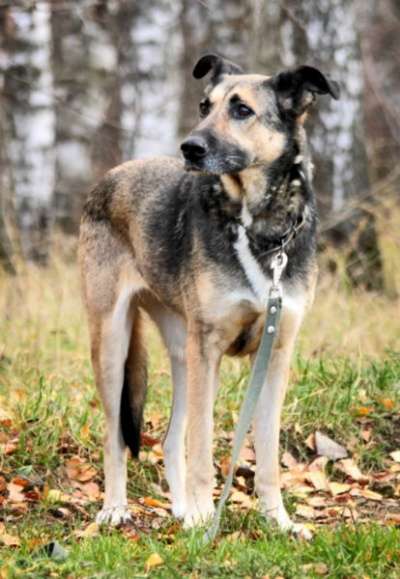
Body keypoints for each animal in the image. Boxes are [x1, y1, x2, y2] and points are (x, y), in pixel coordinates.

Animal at [79, 52, 340, 536]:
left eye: (242, 110)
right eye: (205, 106)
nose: (190, 148)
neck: (259, 228)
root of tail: (113, 174)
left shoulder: (275, 356)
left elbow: (268, 455)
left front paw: (277, 522)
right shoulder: (210, 350)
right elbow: (201, 446)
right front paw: (206, 521)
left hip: (184, 353)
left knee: (169, 439)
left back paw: (182, 511)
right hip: (114, 343)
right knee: (115, 433)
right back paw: (117, 508)